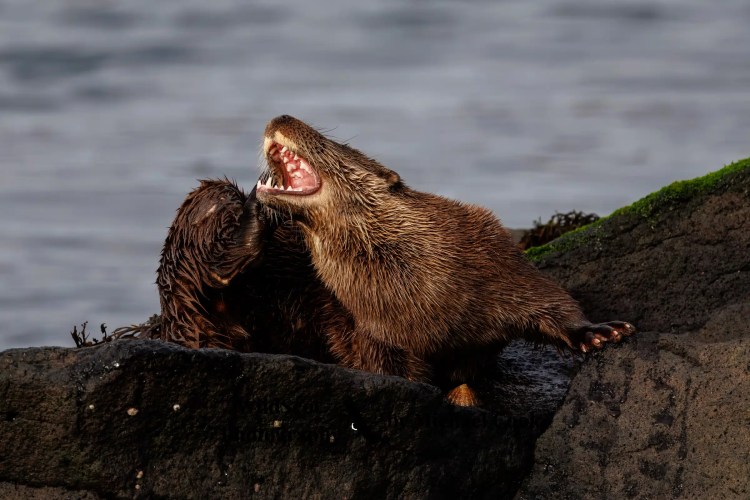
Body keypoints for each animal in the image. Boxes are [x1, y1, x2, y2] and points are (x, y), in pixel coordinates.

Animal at [256, 115, 635, 406]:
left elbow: (550, 297)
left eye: (335, 142)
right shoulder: (373, 334)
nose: (280, 117)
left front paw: (596, 331)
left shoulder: (495, 254)